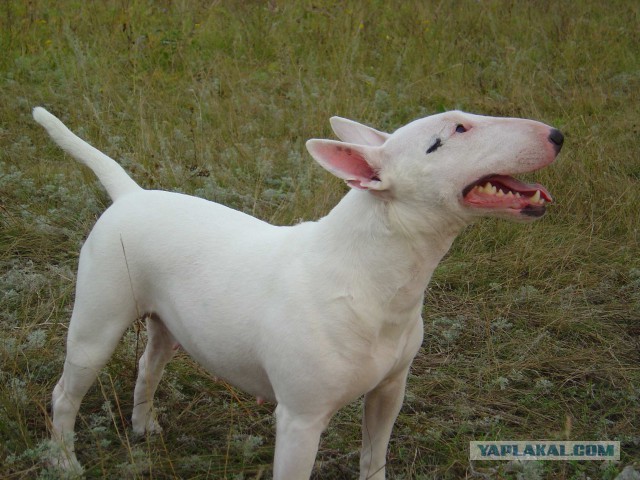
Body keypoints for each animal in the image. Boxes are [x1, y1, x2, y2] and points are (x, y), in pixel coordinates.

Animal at [32, 107, 564, 478]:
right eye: (455, 131)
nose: (556, 135)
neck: (371, 277)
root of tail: (131, 194)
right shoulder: (300, 420)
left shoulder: (389, 391)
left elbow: (374, 457)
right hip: (97, 324)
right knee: (65, 392)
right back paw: (64, 461)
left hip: (167, 323)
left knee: (149, 364)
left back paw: (145, 427)